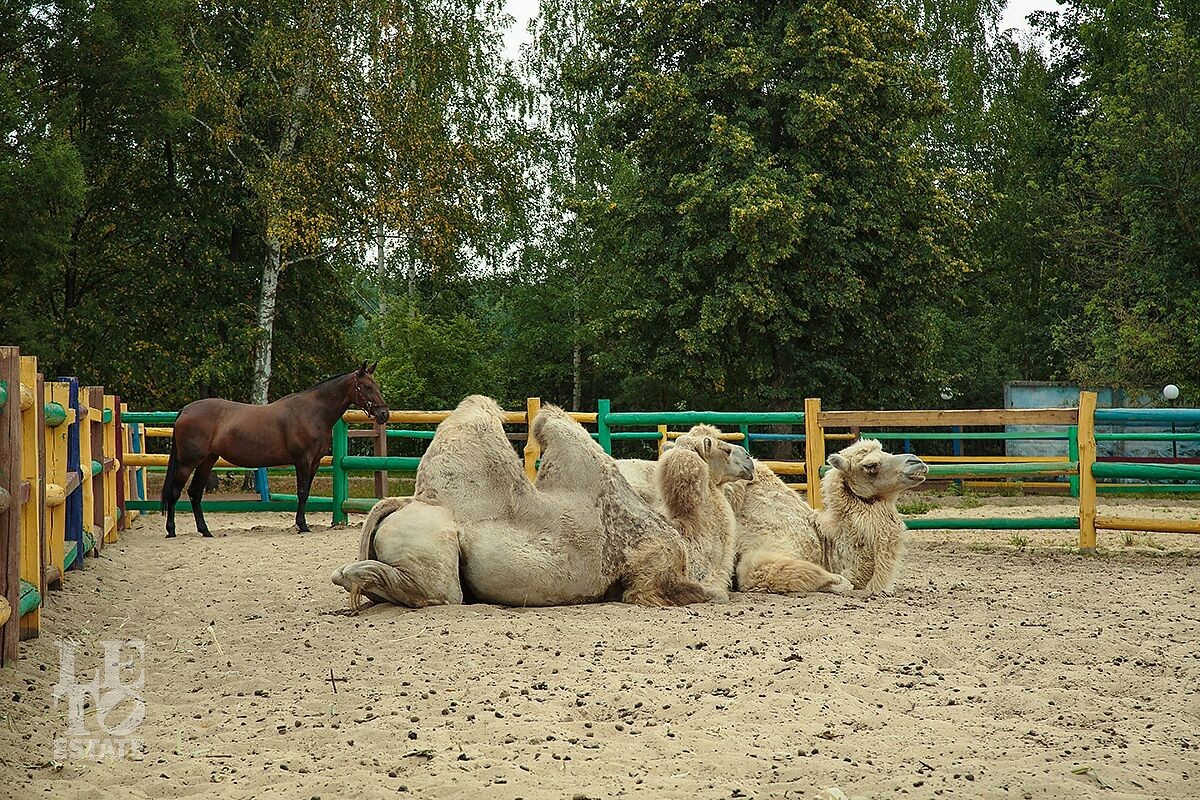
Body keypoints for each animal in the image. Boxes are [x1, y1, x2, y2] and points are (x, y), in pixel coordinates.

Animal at [162, 362, 388, 537]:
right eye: (367, 386)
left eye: (376, 385)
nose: (384, 413)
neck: (313, 412)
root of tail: (186, 410)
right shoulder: (303, 460)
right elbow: (302, 492)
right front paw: (302, 526)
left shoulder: (314, 462)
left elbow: (306, 492)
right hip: (188, 463)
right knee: (175, 492)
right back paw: (171, 530)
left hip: (207, 461)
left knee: (195, 492)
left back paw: (205, 530)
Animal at [328, 398, 739, 609]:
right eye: (719, 446)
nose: (747, 461)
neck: (686, 537)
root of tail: (401, 502)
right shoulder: (652, 571)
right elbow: (701, 594)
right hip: (434, 553)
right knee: (437, 593)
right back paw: (353, 575)